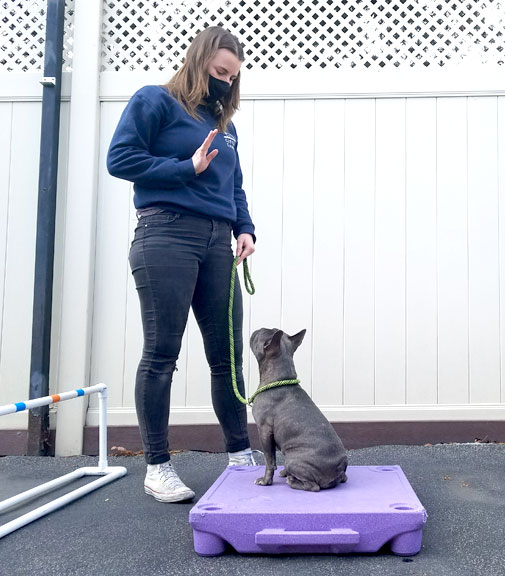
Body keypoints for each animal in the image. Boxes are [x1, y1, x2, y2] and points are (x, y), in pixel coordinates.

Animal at [249, 328, 346, 490]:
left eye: (261, 333)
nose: (256, 330)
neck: (279, 379)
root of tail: (339, 468)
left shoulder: (264, 430)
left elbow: (269, 461)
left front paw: (265, 481)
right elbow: (273, 459)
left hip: (292, 458)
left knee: (313, 486)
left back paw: (292, 480)